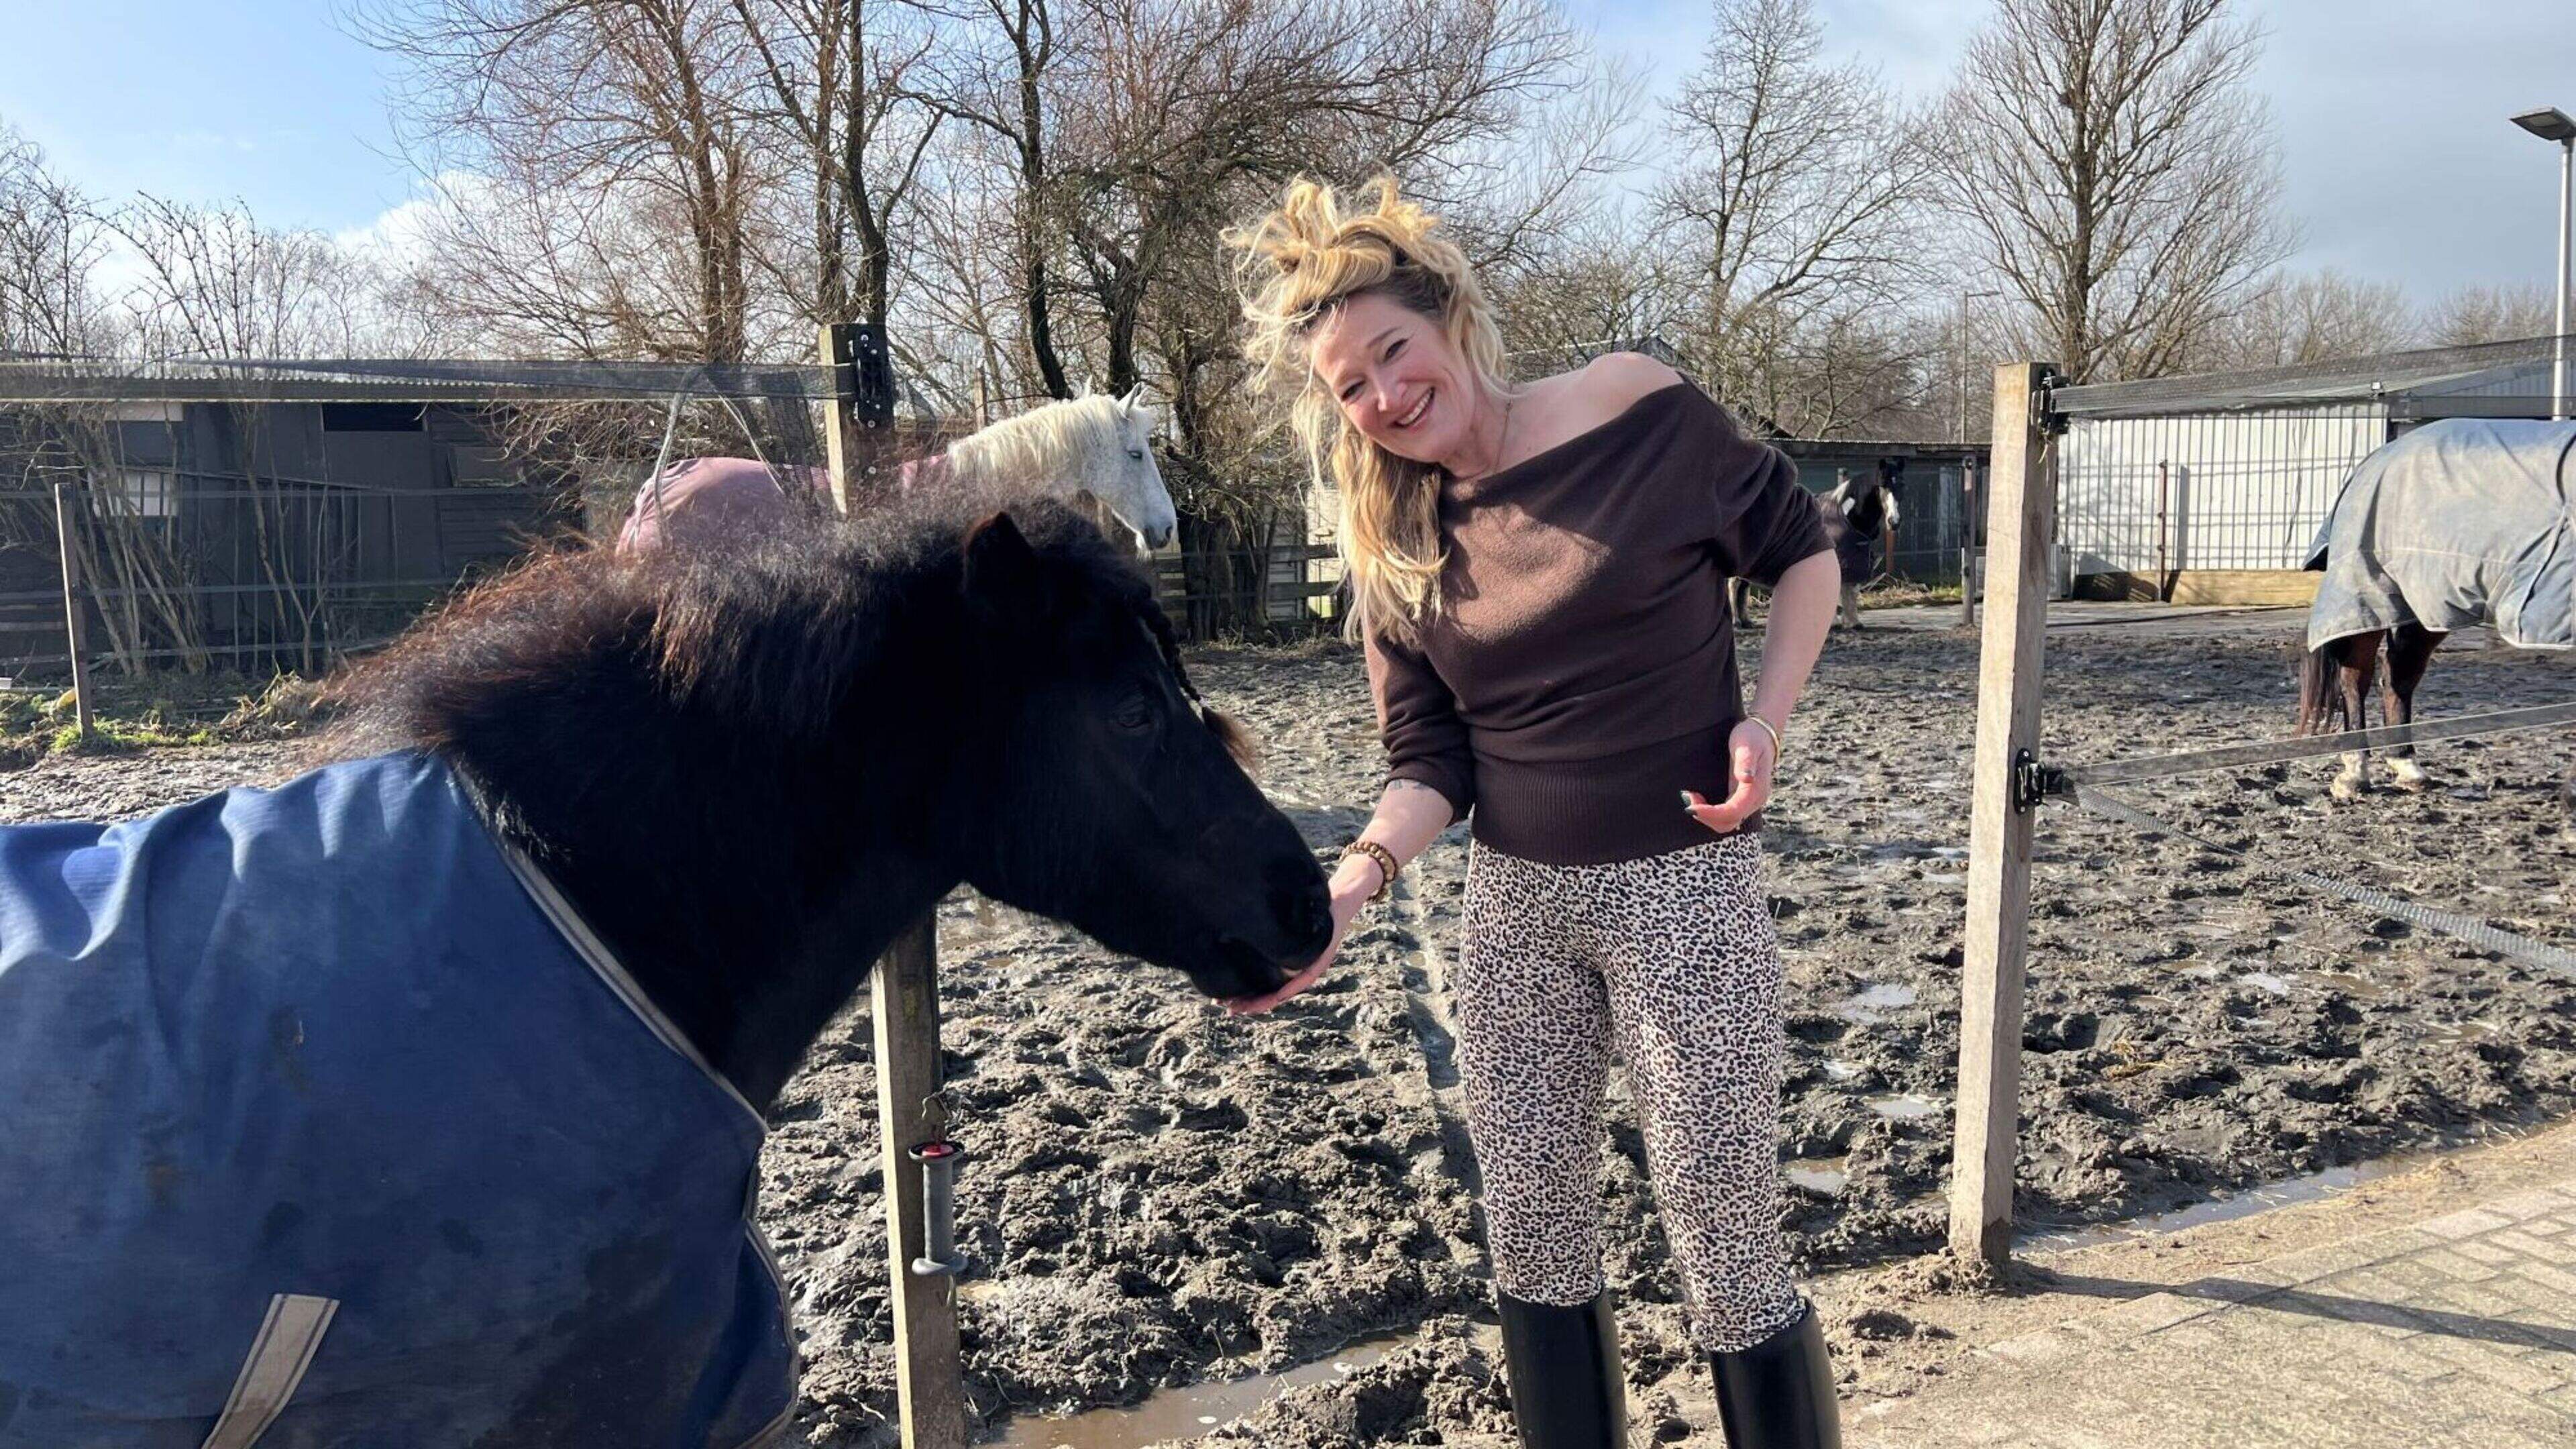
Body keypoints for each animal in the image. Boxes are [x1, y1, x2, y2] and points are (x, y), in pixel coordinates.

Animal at [2297, 416, 2576, 814]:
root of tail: (2382, 454)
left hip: (2427, 604)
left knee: (2398, 675)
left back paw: (2407, 766)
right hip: (2374, 591)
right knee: (2357, 678)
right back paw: (2356, 774)